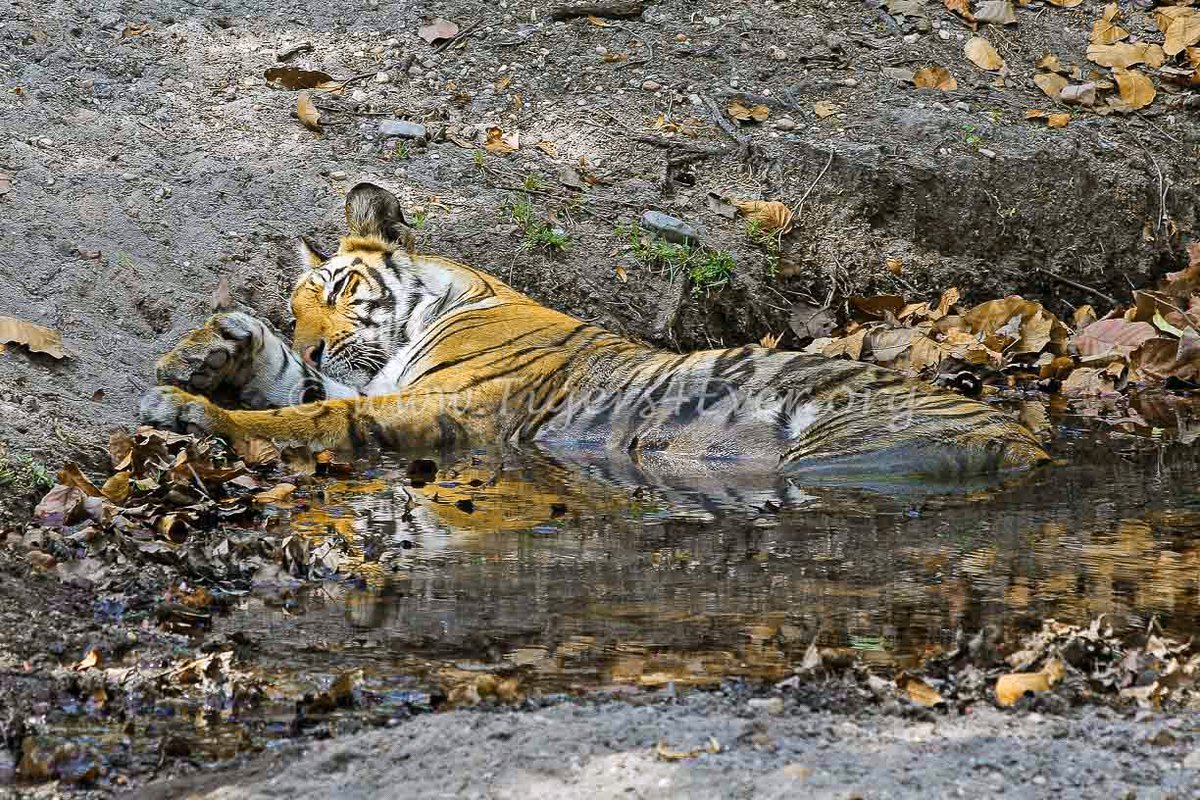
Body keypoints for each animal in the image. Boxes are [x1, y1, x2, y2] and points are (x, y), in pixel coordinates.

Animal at [138, 181, 1041, 474]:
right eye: (295, 308)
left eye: (339, 289)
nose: (314, 337)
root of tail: (1029, 437)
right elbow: (299, 385)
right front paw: (211, 349)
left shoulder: (446, 406)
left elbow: (314, 416)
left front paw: (194, 412)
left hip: (854, 449)